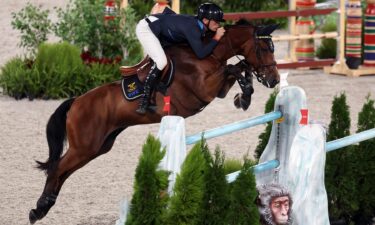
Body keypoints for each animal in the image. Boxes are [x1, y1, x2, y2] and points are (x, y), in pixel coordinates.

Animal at [29, 20, 280, 223]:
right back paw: (37, 210)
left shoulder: (216, 89)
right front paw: (245, 94)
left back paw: (45, 206)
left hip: (97, 147)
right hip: (84, 146)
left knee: (62, 171)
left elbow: (239, 67)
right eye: (264, 48)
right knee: (57, 169)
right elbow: (232, 67)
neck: (207, 54)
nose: (274, 80)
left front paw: (244, 96)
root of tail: (76, 102)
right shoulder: (203, 90)